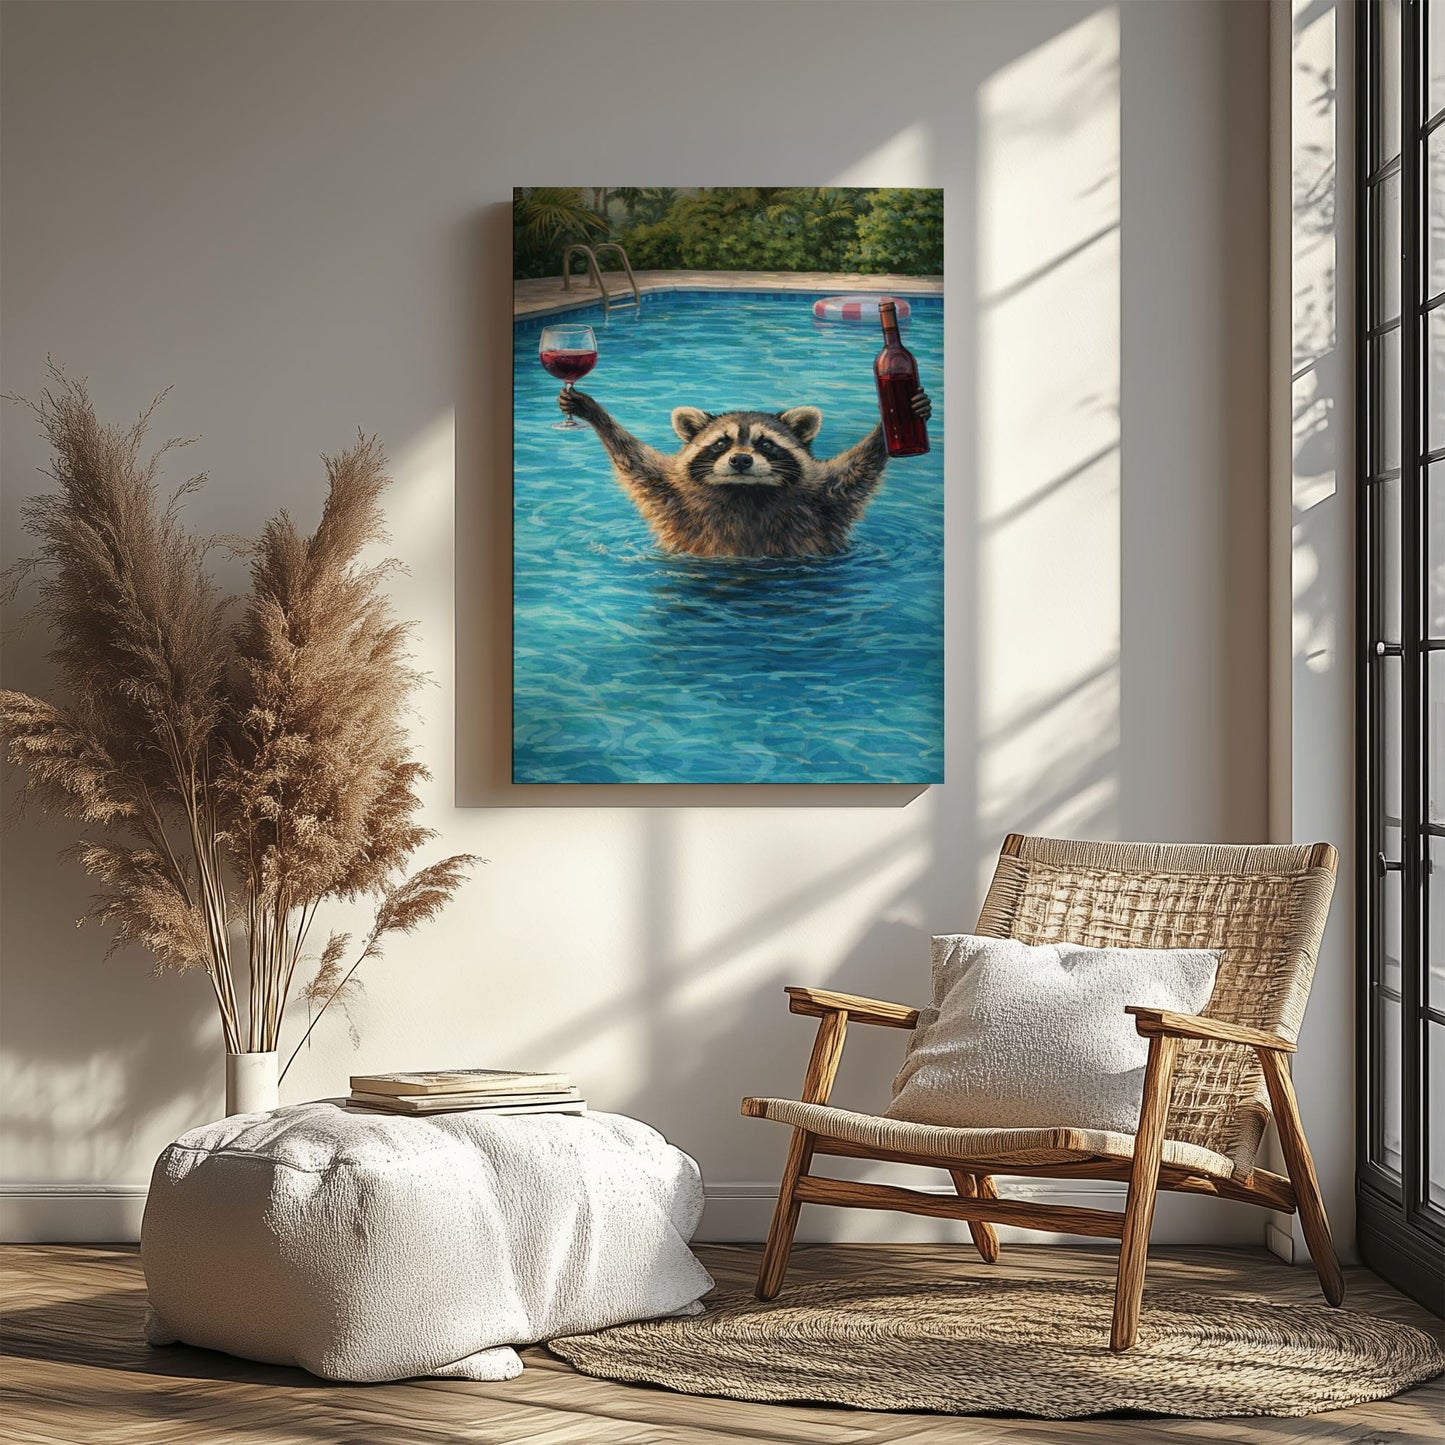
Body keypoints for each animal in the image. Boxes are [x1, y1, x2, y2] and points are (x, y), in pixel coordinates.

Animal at [556, 386, 931, 558]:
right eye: (722, 443)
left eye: (766, 444)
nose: (740, 461)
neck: (744, 492)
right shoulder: (671, 493)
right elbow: (633, 459)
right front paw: (595, 413)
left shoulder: (825, 499)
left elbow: (858, 470)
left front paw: (890, 423)